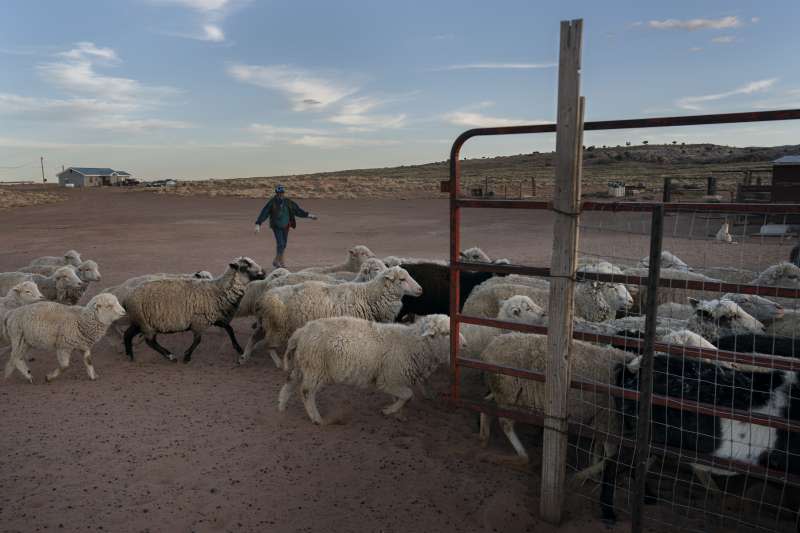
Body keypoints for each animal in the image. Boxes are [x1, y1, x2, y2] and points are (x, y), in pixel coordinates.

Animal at [122, 256, 266, 362]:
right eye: (245, 266)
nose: (263, 273)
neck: (218, 290)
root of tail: (127, 297)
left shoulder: (214, 317)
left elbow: (229, 329)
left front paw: (238, 348)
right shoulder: (199, 321)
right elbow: (198, 340)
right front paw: (187, 356)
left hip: (140, 321)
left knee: (128, 334)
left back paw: (130, 355)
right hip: (145, 323)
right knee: (150, 342)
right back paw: (170, 356)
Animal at [241, 264, 422, 368]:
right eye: (402, 279)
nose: (420, 289)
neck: (368, 295)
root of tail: (265, 294)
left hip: (269, 323)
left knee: (255, 336)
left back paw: (244, 356)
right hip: (278, 326)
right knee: (268, 344)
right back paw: (278, 363)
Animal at [278, 312, 460, 424]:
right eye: (446, 333)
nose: (463, 345)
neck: (412, 343)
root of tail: (301, 332)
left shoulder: (395, 380)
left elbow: (401, 397)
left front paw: (395, 412)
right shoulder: (387, 379)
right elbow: (408, 395)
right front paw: (390, 411)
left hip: (301, 364)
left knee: (289, 383)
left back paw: (282, 406)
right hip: (315, 367)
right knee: (306, 392)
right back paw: (316, 418)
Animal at [478, 334, 636, 520]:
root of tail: (489, 348)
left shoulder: (602, 418)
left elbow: (600, 447)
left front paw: (593, 474)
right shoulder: (609, 419)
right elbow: (612, 456)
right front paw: (581, 476)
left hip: (504, 393)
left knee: (487, 404)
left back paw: (484, 437)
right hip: (510, 393)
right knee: (506, 423)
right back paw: (522, 456)